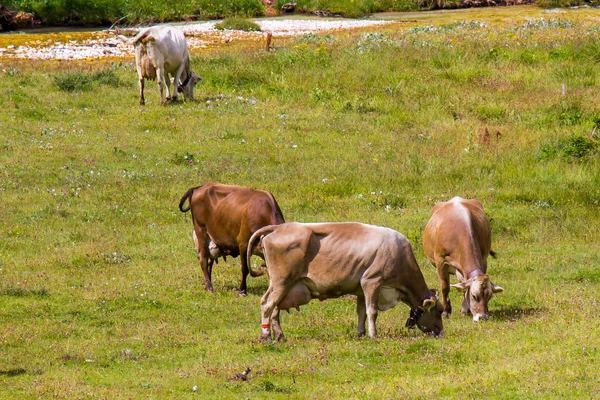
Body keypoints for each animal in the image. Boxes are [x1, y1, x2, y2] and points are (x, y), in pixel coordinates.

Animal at [246, 222, 442, 340]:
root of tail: (278, 227)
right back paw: (266, 335)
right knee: (267, 305)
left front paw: (361, 334)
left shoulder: (361, 288)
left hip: (281, 285)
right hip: (282, 281)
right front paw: (373, 335)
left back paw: (280, 336)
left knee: (274, 308)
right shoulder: (372, 281)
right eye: (440, 311)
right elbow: (372, 312)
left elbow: (362, 312)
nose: (441, 332)